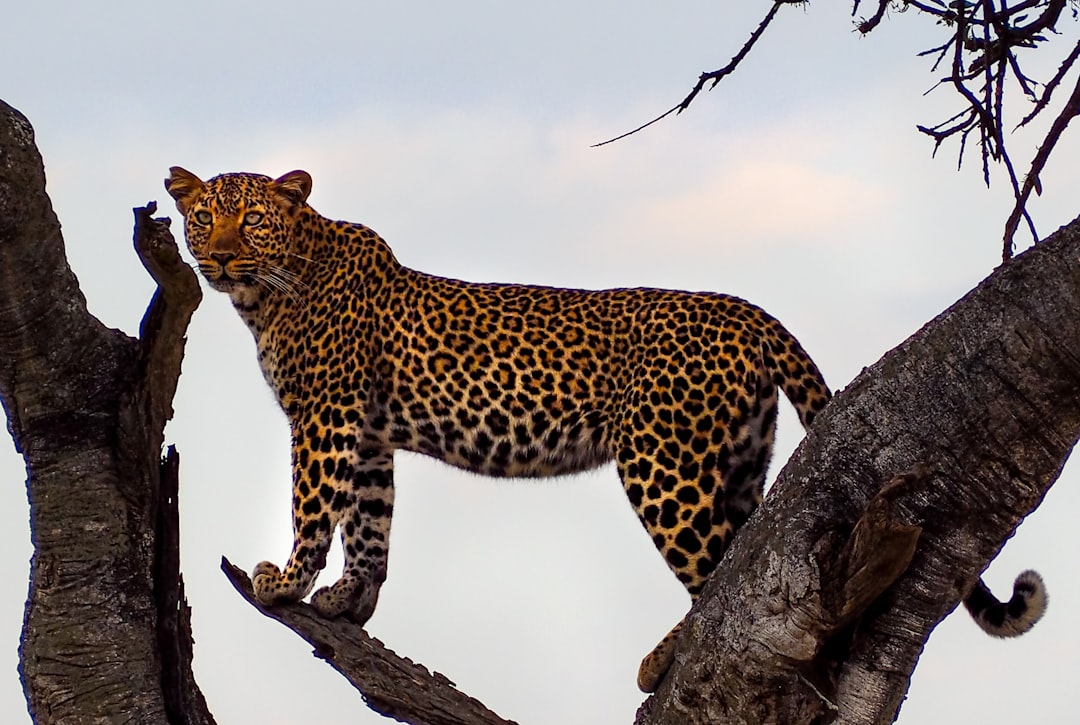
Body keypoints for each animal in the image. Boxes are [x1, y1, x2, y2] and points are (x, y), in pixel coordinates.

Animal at [166, 167, 1045, 695]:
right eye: (202, 218)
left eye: (251, 220)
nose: (218, 257)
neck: (273, 291)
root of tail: (749, 310)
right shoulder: (369, 430)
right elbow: (371, 519)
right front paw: (353, 598)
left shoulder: (325, 416)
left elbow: (316, 504)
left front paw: (285, 579)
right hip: (735, 461)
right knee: (747, 559)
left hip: (664, 463)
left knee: (723, 575)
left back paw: (661, 661)